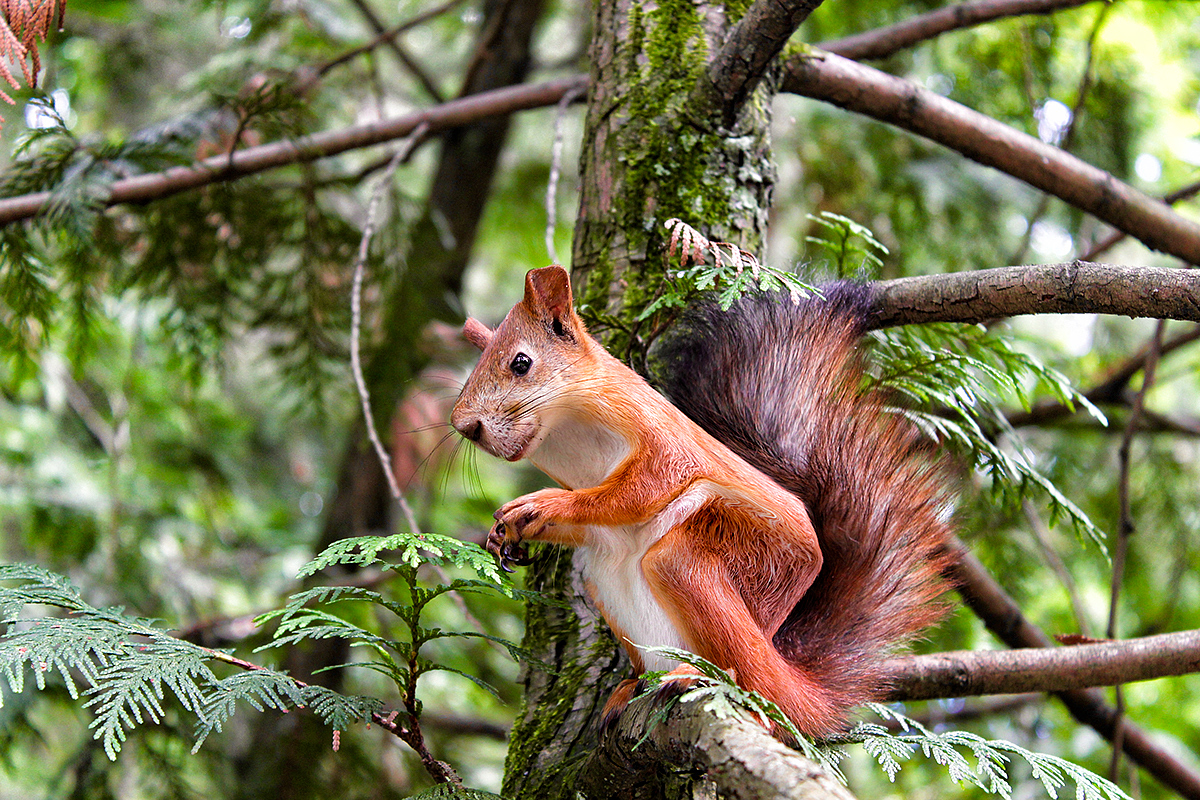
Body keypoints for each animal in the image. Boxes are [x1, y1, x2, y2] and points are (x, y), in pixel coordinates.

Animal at [451, 263, 955, 738]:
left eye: (521, 363)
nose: (465, 426)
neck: (565, 429)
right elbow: (595, 515)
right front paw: (505, 532)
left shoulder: (654, 431)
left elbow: (644, 487)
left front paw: (542, 506)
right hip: (606, 584)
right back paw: (632, 687)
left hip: (729, 563)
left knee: (743, 668)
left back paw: (703, 677)